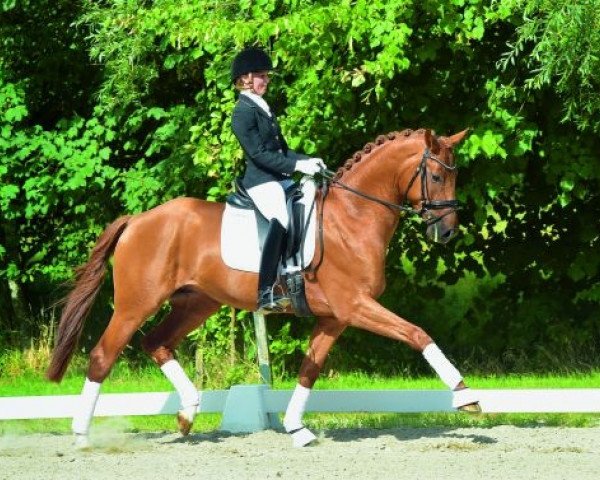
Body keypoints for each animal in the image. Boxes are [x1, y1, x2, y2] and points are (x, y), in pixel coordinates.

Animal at [47, 128, 480, 450]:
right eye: (437, 176)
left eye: (455, 175)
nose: (446, 232)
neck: (352, 217)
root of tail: (138, 220)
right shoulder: (356, 305)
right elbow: (417, 333)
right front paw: (466, 396)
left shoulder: (335, 317)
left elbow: (309, 370)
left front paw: (296, 428)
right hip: (136, 304)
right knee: (103, 355)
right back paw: (82, 436)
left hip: (196, 304)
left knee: (155, 342)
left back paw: (187, 414)